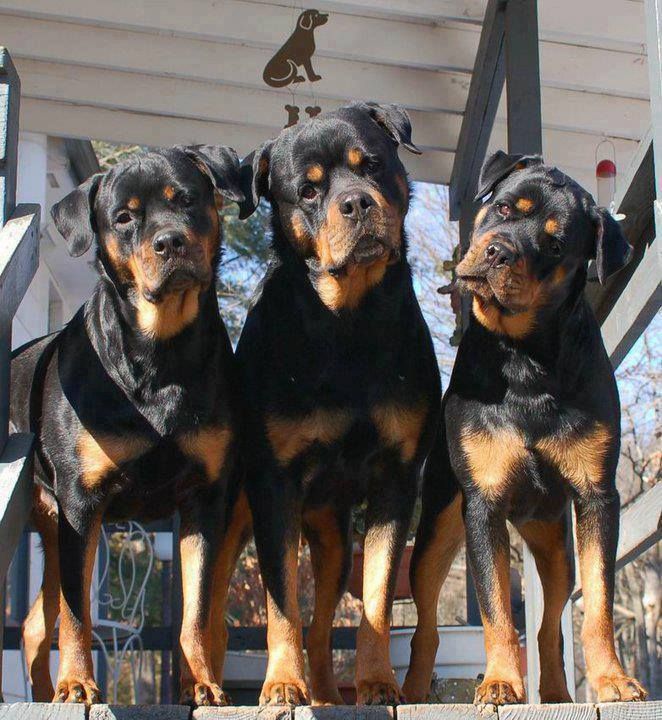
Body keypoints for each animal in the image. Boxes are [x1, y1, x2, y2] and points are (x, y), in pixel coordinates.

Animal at [10, 145, 254, 704]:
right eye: (124, 217)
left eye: (185, 199)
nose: (170, 241)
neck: (159, 352)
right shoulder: (82, 504)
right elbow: (78, 615)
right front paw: (77, 683)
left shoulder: (205, 500)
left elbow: (196, 610)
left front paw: (201, 683)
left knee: (33, 624)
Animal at [236, 104, 444, 704]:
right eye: (308, 191)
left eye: (370, 164)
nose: (355, 202)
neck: (348, 322)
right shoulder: (274, 484)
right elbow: (281, 601)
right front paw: (282, 684)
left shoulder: (396, 478)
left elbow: (375, 594)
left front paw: (376, 682)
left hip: (331, 535)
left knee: (324, 622)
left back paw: (330, 694)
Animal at [402, 150, 652, 704]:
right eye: (503, 207)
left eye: (555, 246)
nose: (498, 252)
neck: (525, 360)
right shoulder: (484, 503)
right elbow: (495, 606)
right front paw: (499, 681)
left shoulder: (597, 497)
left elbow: (598, 602)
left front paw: (613, 680)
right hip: (436, 531)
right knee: (426, 624)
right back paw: (407, 690)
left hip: (554, 544)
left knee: (548, 626)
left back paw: (557, 693)